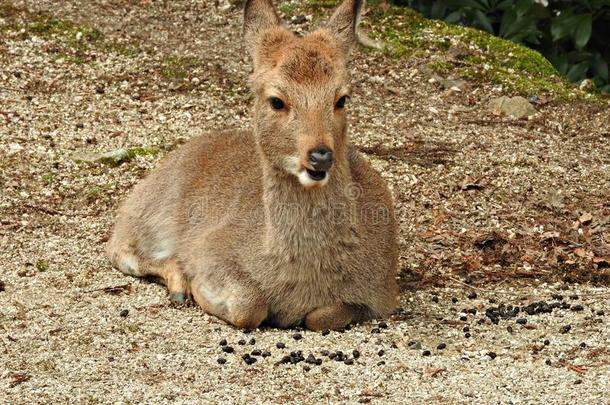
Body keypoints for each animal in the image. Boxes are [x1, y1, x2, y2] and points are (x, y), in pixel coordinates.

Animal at [106, 0, 396, 330]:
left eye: (342, 99)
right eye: (276, 100)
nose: (320, 155)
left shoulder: (383, 292)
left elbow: (321, 317)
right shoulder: (212, 249)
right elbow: (250, 306)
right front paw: (198, 289)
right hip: (146, 216)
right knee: (119, 250)